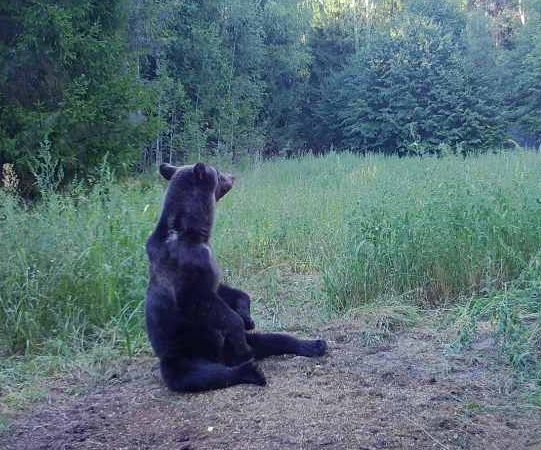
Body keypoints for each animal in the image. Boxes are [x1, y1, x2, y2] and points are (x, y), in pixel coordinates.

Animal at [143, 162, 326, 390]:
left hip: (239, 344)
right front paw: (239, 321)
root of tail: (223, 358)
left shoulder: (210, 264)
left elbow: (227, 290)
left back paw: (314, 345)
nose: (232, 176)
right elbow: (207, 304)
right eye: (218, 173)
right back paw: (251, 370)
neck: (193, 232)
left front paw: (247, 316)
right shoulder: (187, 268)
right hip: (184, 356)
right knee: (203, 375)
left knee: (273, 339)